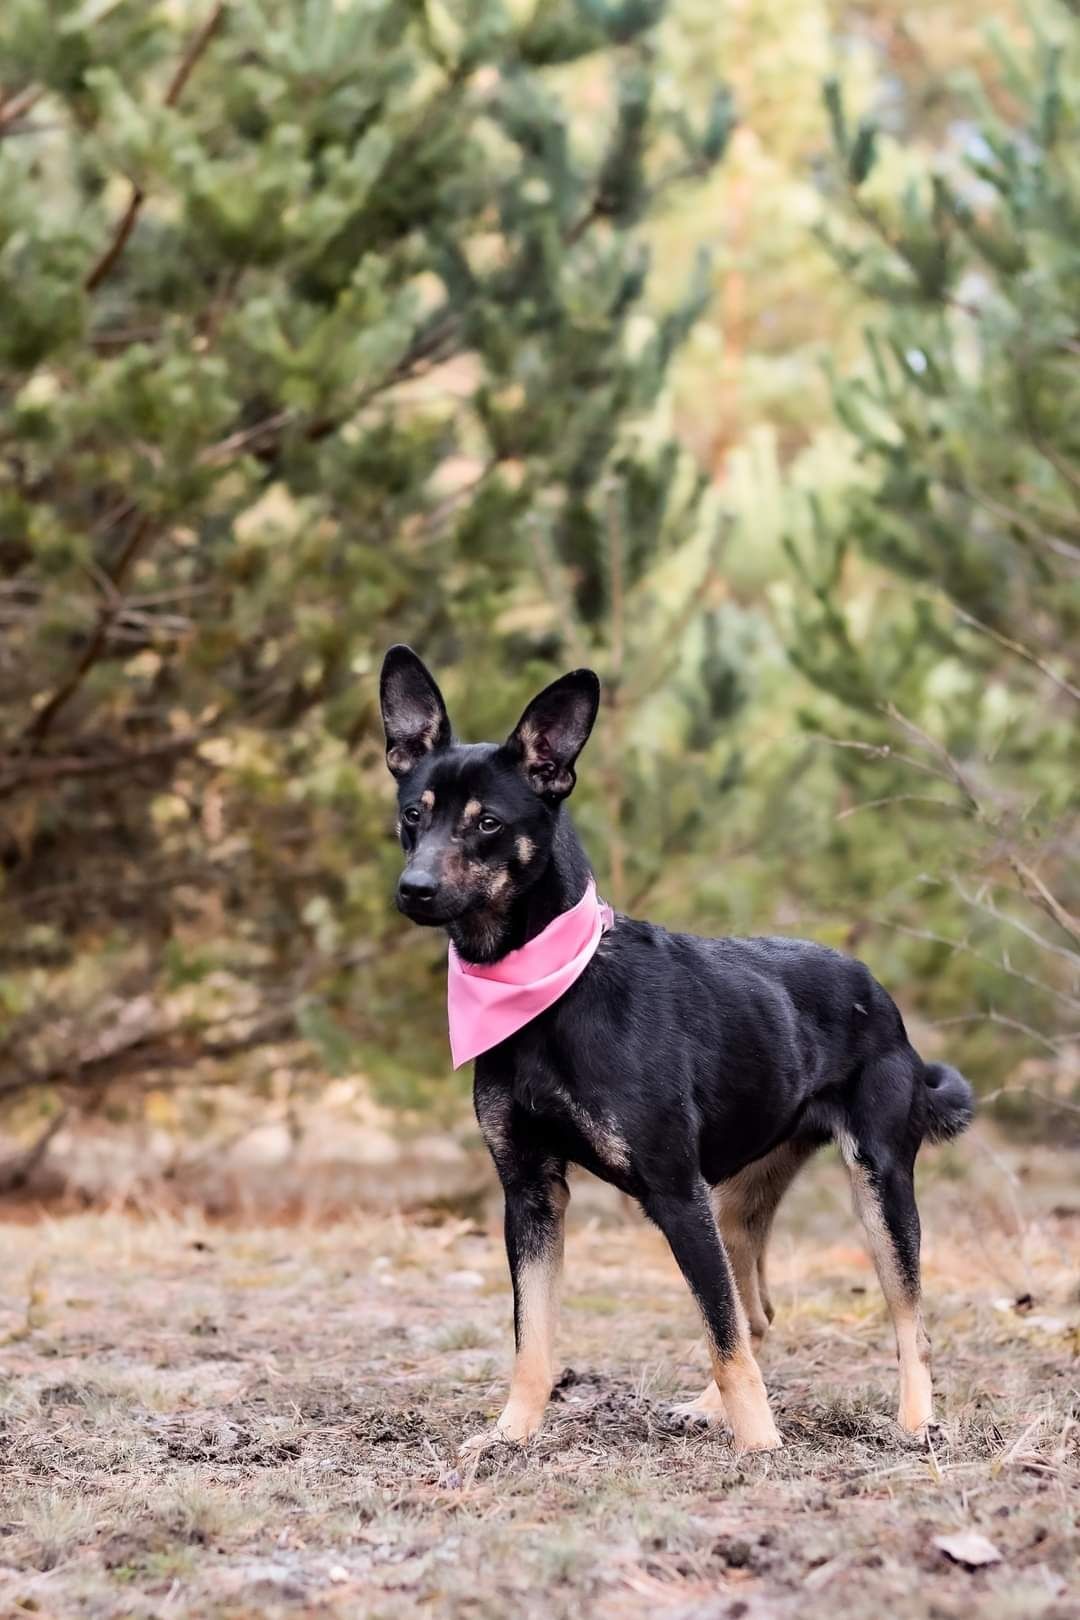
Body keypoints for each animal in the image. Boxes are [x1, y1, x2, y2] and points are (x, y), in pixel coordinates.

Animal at [382, 641, 977, 1458]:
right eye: (414, 815)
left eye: (489, 824)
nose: (412, 890)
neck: (548, 988)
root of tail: (878, 994)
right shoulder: (531, 1193)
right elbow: (534, 1339)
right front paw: (511, 1434)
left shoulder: (673, 1191)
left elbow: (723, 1338)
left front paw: (761, 1451)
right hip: (737, 1198)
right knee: (758, 1314)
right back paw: (705, 1408)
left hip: (877, 1182)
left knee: (904, 1322)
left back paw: (916, 1422)